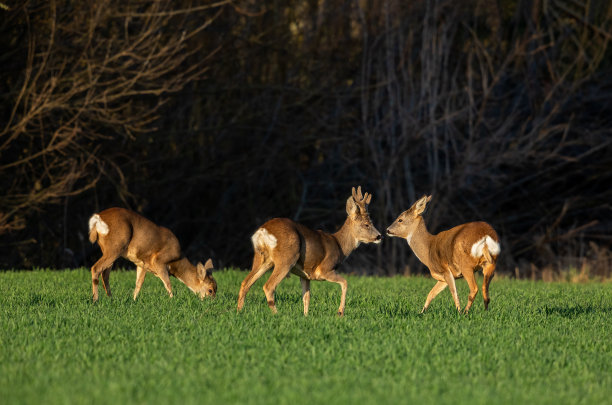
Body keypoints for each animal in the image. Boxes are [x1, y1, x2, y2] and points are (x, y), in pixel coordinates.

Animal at [87, 208, 218, 300]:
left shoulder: (142, 264)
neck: (176, 262)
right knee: (96, 268)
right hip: (116, 247)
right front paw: (172, 301)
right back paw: (95, 300)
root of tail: (98, 219)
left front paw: (134, 300)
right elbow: (168, 284)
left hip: (109, 250)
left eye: (217, 288)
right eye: (210, 290)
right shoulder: (158, 261)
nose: (213, 302)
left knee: (105, 274)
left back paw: (111, 299)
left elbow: (138, 284)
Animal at [238, 186, 382, 316]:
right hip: (286, 258)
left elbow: (306, 297)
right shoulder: (325, 269)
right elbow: (345, 282)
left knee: (245, 283)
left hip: (262, 258)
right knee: (268, 286)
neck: (339, 245)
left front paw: (306, 316)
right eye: (366, 224)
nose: (379, 236)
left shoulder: (305, 275)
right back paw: (277, 314)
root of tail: (262, 231)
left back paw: (239, 311)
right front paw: (340, 312)